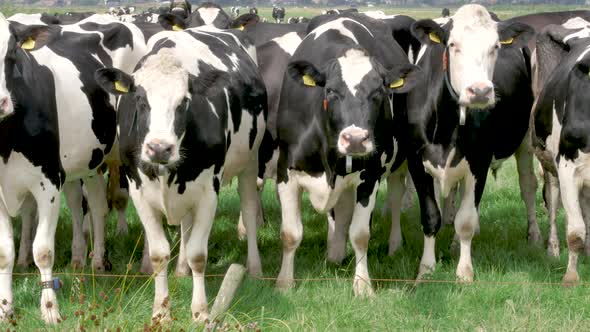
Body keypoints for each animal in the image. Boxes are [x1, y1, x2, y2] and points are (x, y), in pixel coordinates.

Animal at [0, 13, 147, 322]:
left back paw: (143, 265)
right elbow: (4, 252)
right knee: (95, 204)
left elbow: (43, 250)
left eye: (12, 52)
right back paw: (94, 261)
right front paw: (6, 309)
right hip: (89, 161)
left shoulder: (48, 183)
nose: (1, 102)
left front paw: (50, 310)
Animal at [96, 26, 268, 322]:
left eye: (184, 102)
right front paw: (160, 312)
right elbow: (158, 254)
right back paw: (181, 269)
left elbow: (200, 254)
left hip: (250, 160)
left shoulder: (210, 191)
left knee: (248, 210)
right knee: (186, 225)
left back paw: (254, 268)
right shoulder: (138, 189)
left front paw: (200, 311)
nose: (159, 148)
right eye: (140, 99)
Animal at [276, 14, 424, 296]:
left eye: (378, 92)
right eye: (332, 91)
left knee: (396, 199)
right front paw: (284, 283)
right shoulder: (286, 171)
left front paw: (363, 286)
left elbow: (360, 234)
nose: (355, 139)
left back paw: (394, 246)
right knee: (342, 211)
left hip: (399, 164)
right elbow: (290, 234)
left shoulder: (371, 175)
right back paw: (335, 253)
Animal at [408, 3, 536, 282]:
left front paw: (464, 272)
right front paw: (426, 270)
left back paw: (535, 236)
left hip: (525, 141)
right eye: (453, 44)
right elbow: (431, 217)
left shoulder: (479, 162)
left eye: (495, 47)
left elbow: (466, 220)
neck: (446, 127)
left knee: (528, 186)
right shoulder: (416, 162)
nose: (479, 91)